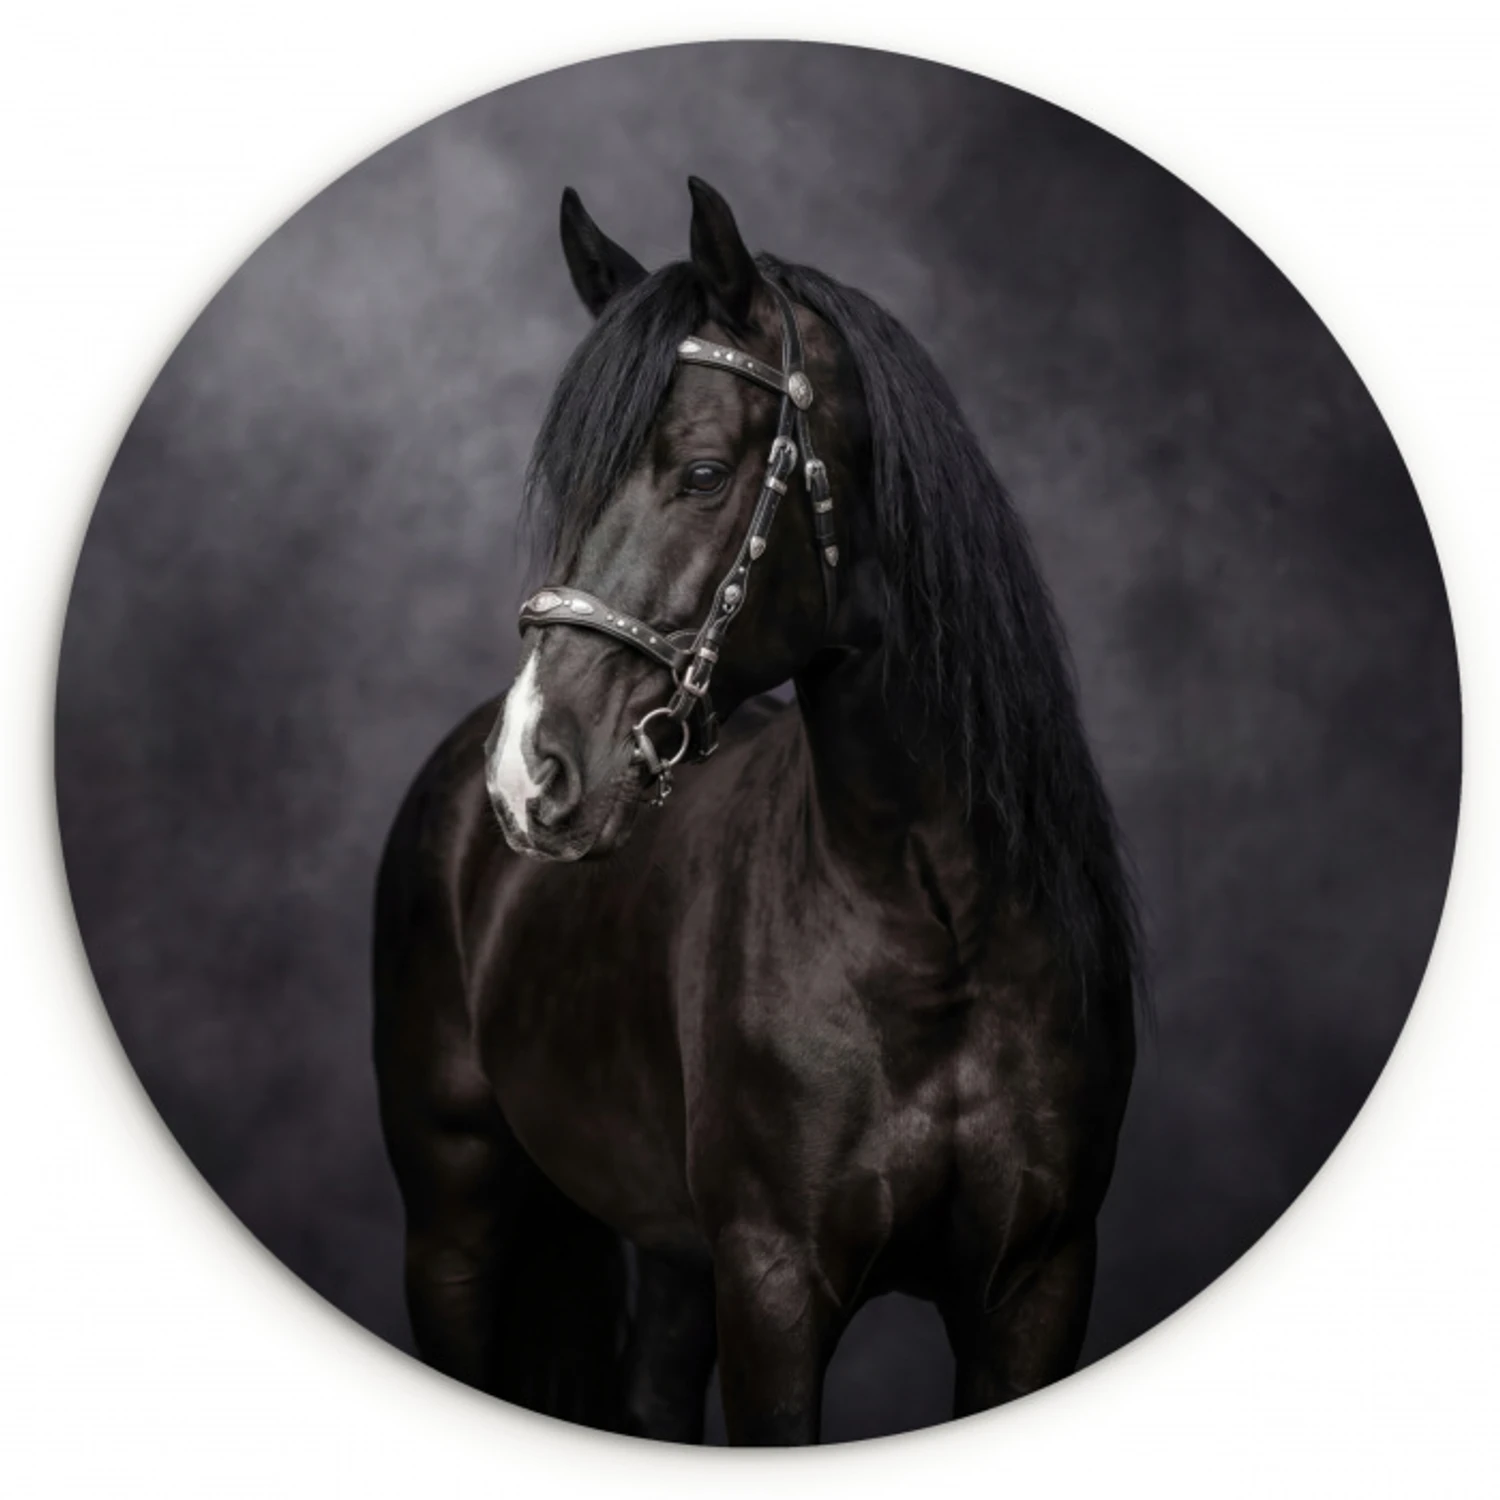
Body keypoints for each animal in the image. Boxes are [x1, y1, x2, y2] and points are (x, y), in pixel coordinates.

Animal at [373, 177, 1140, 1445]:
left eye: (697, 473)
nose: (530, 772)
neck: (937, 923)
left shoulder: (1037, 1280)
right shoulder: (775, 1282)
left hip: (672, 1253)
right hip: (454, 1221)